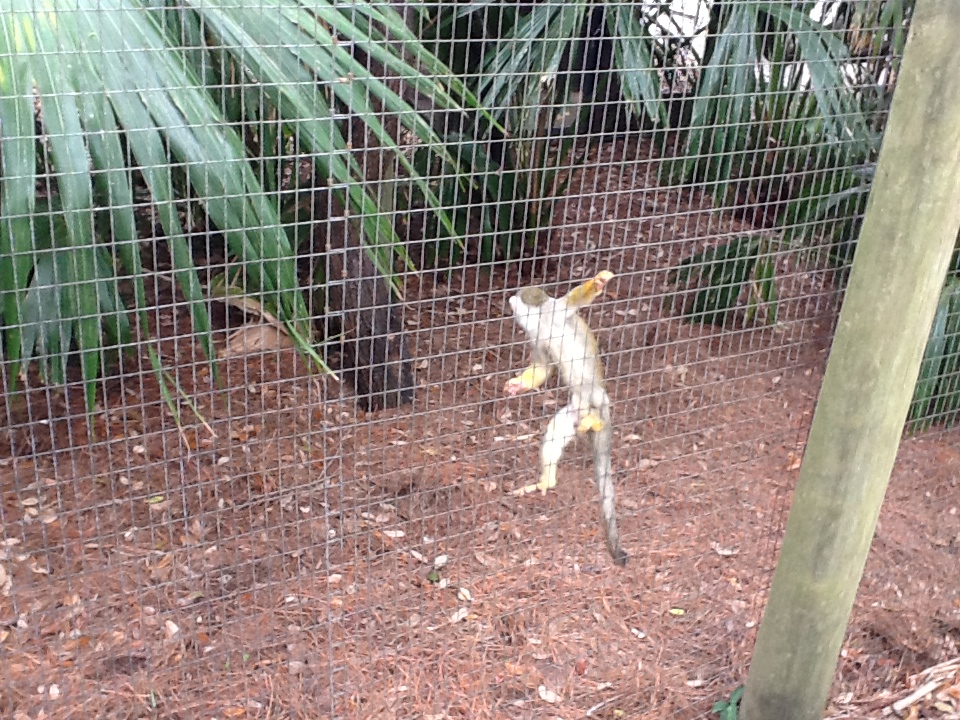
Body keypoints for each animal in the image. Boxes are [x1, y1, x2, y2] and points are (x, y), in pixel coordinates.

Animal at [503, 270, 628, 566]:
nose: (508, 302)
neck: (541, 323)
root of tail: (587, 413)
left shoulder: (557, 312)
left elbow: (575, 300)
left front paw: (598, 283)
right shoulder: (536, 337)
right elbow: (542, 368)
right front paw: (518, 386)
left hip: (596, 397)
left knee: (594, 395)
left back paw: (597, 421)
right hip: (572, 413)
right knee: (555, 432)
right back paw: (546, 481)